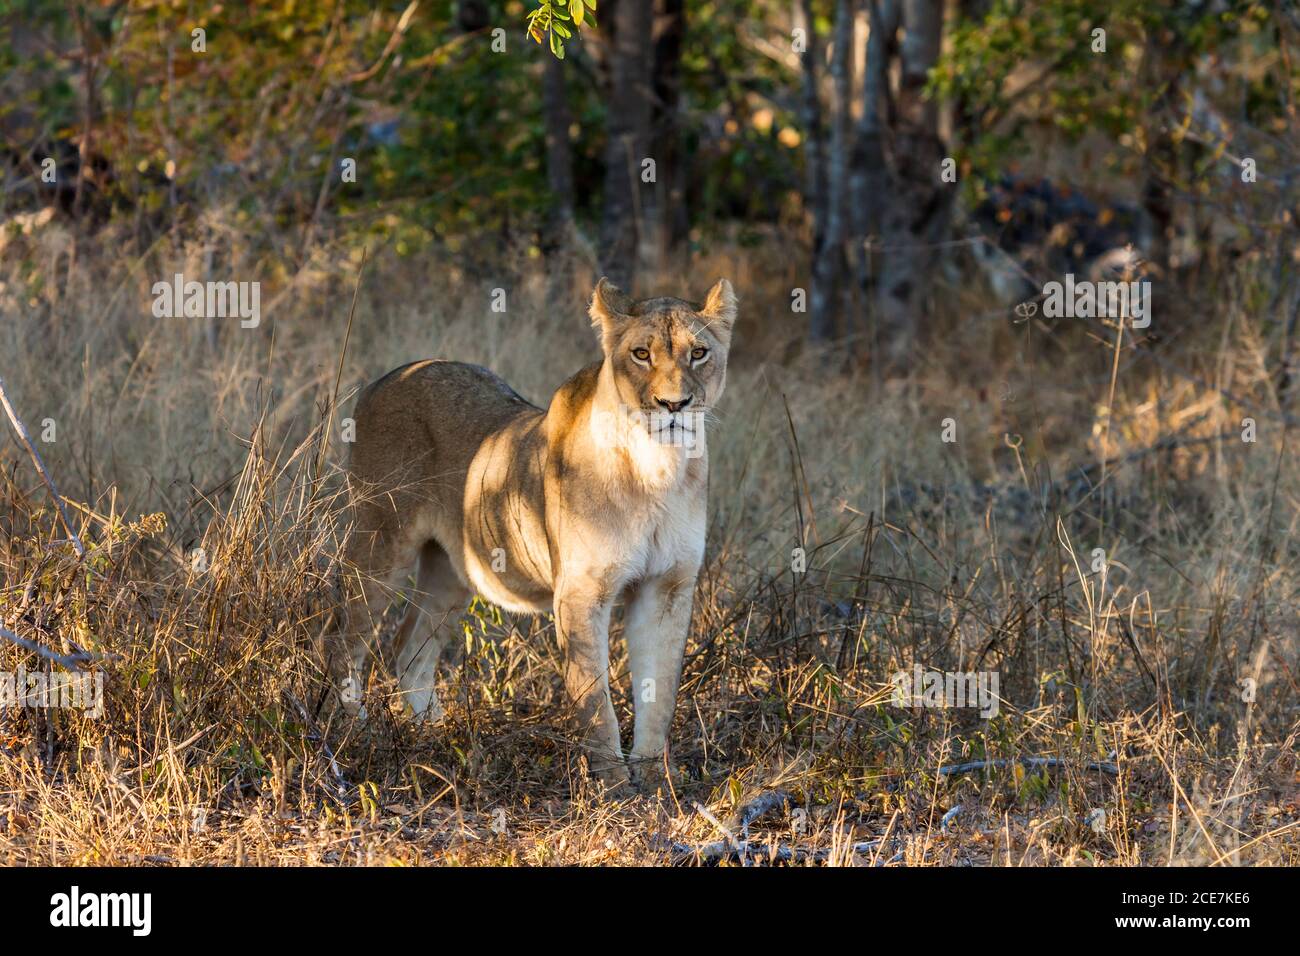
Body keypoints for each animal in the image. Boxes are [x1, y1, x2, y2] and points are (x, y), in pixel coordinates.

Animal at [325, 277, 737, 790]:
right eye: (641, 354)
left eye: (699, 353)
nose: (674, 405)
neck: (657, 468)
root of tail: (386, 378)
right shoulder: (581, 594)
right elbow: (595, 700)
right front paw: (614, 786)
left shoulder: (668, 587)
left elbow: (658, 692)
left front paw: (657, 781)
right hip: (380, 542)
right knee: (343, 638)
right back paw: (354, 735)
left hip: (452, 572)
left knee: (408, 648)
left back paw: (433, 737)